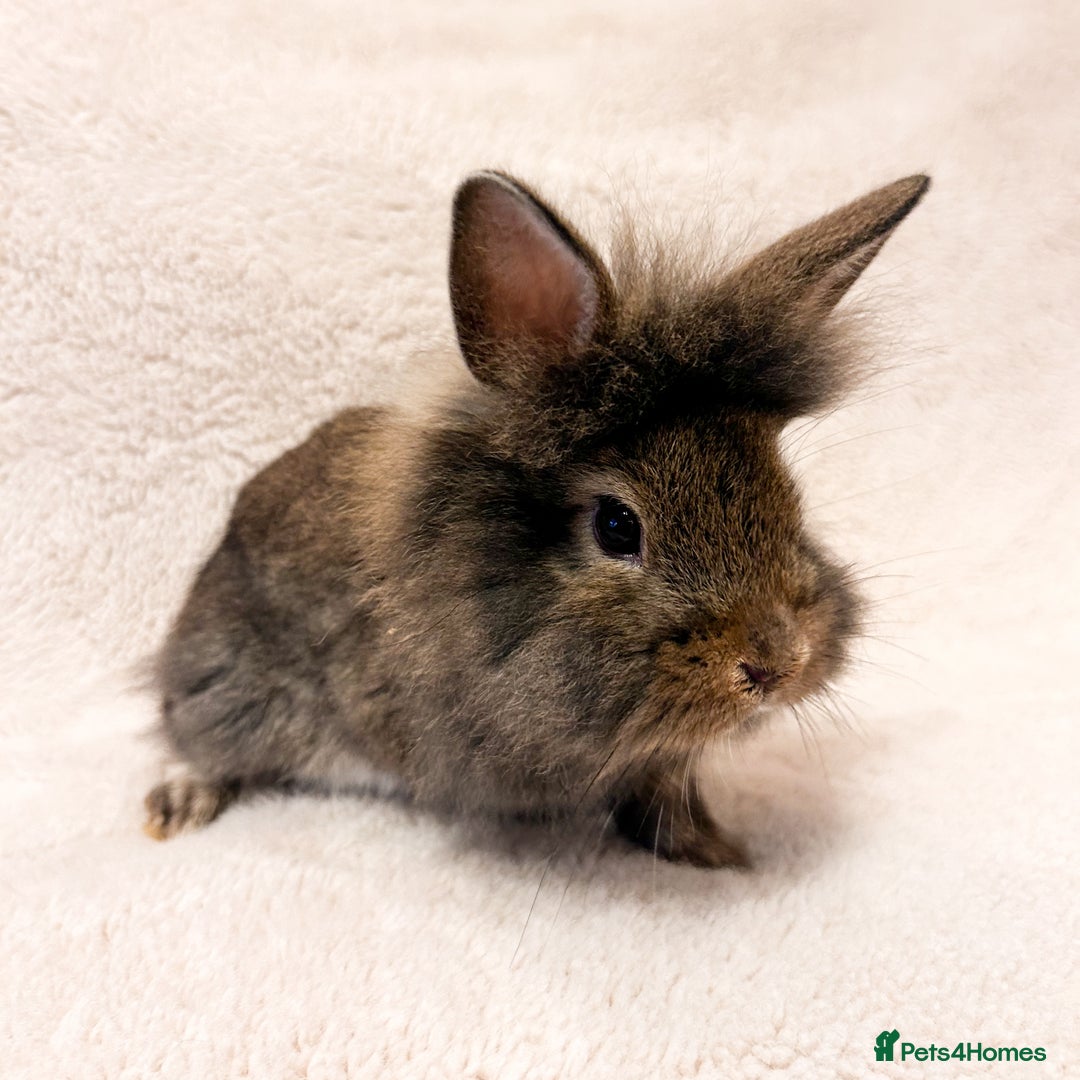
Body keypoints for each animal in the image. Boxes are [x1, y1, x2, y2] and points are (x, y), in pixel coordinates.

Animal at [144, 168, 929, 868]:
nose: (775, 665)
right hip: (228, 682)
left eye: (789, 496)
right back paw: (176, 806)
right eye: (616, 526)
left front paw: (717, 853)